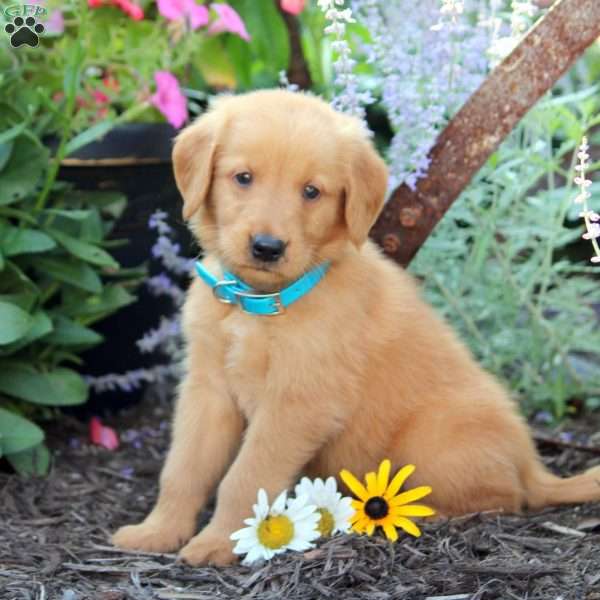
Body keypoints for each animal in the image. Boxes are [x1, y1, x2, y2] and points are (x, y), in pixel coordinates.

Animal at [112, 88, 600, 564]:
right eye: (243, 177)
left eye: (312, 191)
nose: (267, 247)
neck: (260, 303)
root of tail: (534, 466)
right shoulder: (208, 388)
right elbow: (183, 468)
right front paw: (158, 531)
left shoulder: (297, 403)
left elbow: (246, 477)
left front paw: (220, 543)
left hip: (432, 438)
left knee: (502, 498)